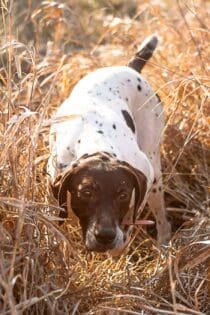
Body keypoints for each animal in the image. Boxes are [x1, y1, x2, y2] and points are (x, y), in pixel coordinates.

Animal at [48, 36, 171, 254]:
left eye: (122, 194)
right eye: (86, 192)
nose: (105, 236)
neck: (95, 136)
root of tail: (129, 68)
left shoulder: (144, 177)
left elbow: (129, 220)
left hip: (155, 173)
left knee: (162, 220)